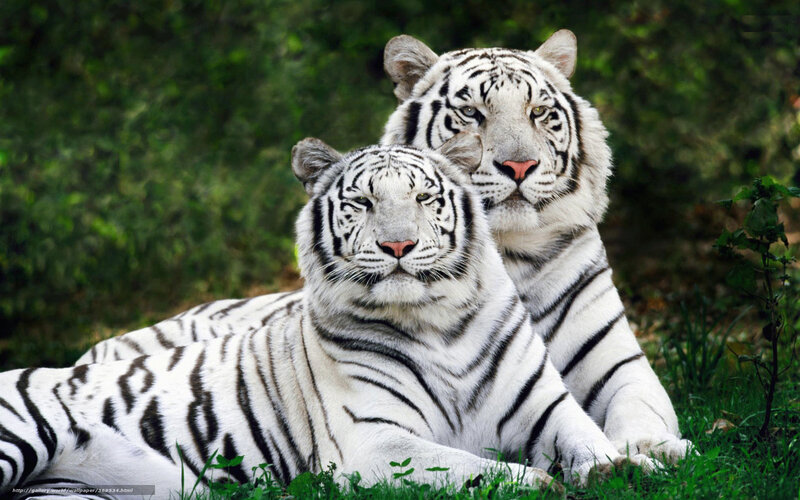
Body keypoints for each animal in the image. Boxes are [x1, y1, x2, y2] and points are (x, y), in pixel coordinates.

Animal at [1, 136, 657, 498]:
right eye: (362, 202)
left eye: (424, 198)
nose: (398, 246)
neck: (439, 323)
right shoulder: (375, 442)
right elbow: (474, 467)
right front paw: (540, 484)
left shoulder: (547, 408)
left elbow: (590, 441)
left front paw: (631, 467)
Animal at [75, 30, 692, 462]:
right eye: (471, 113)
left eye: (539, 112)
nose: (518, 166)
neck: (509, 253)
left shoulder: (619, 363)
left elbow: (641, 407)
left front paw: (656, 450)